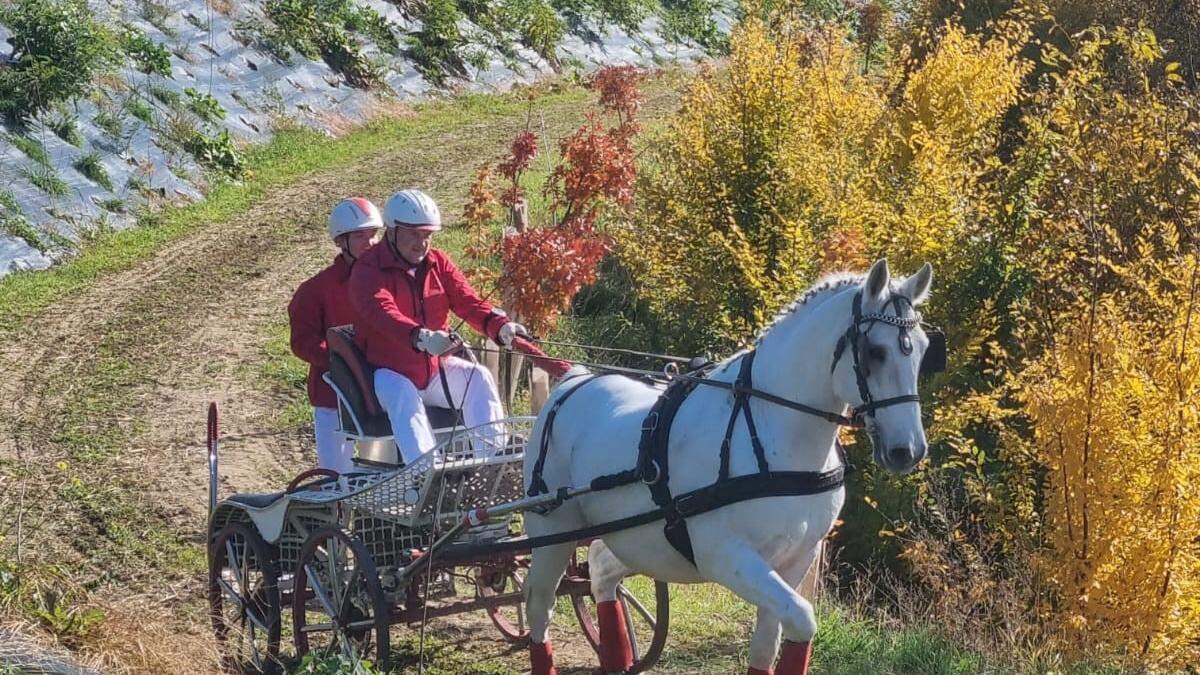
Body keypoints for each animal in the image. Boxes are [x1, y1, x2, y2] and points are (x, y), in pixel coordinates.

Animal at [520, 258, 931, 672]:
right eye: (875, 351)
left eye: (924, 350)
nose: (907, 450)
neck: (769, 427)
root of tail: (573, 381)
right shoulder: (725, 556)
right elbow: (802, 618)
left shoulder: (796, 559)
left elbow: (768, 644)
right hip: (555, 534)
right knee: (540, 605)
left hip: (640, 543)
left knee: (601, 571)